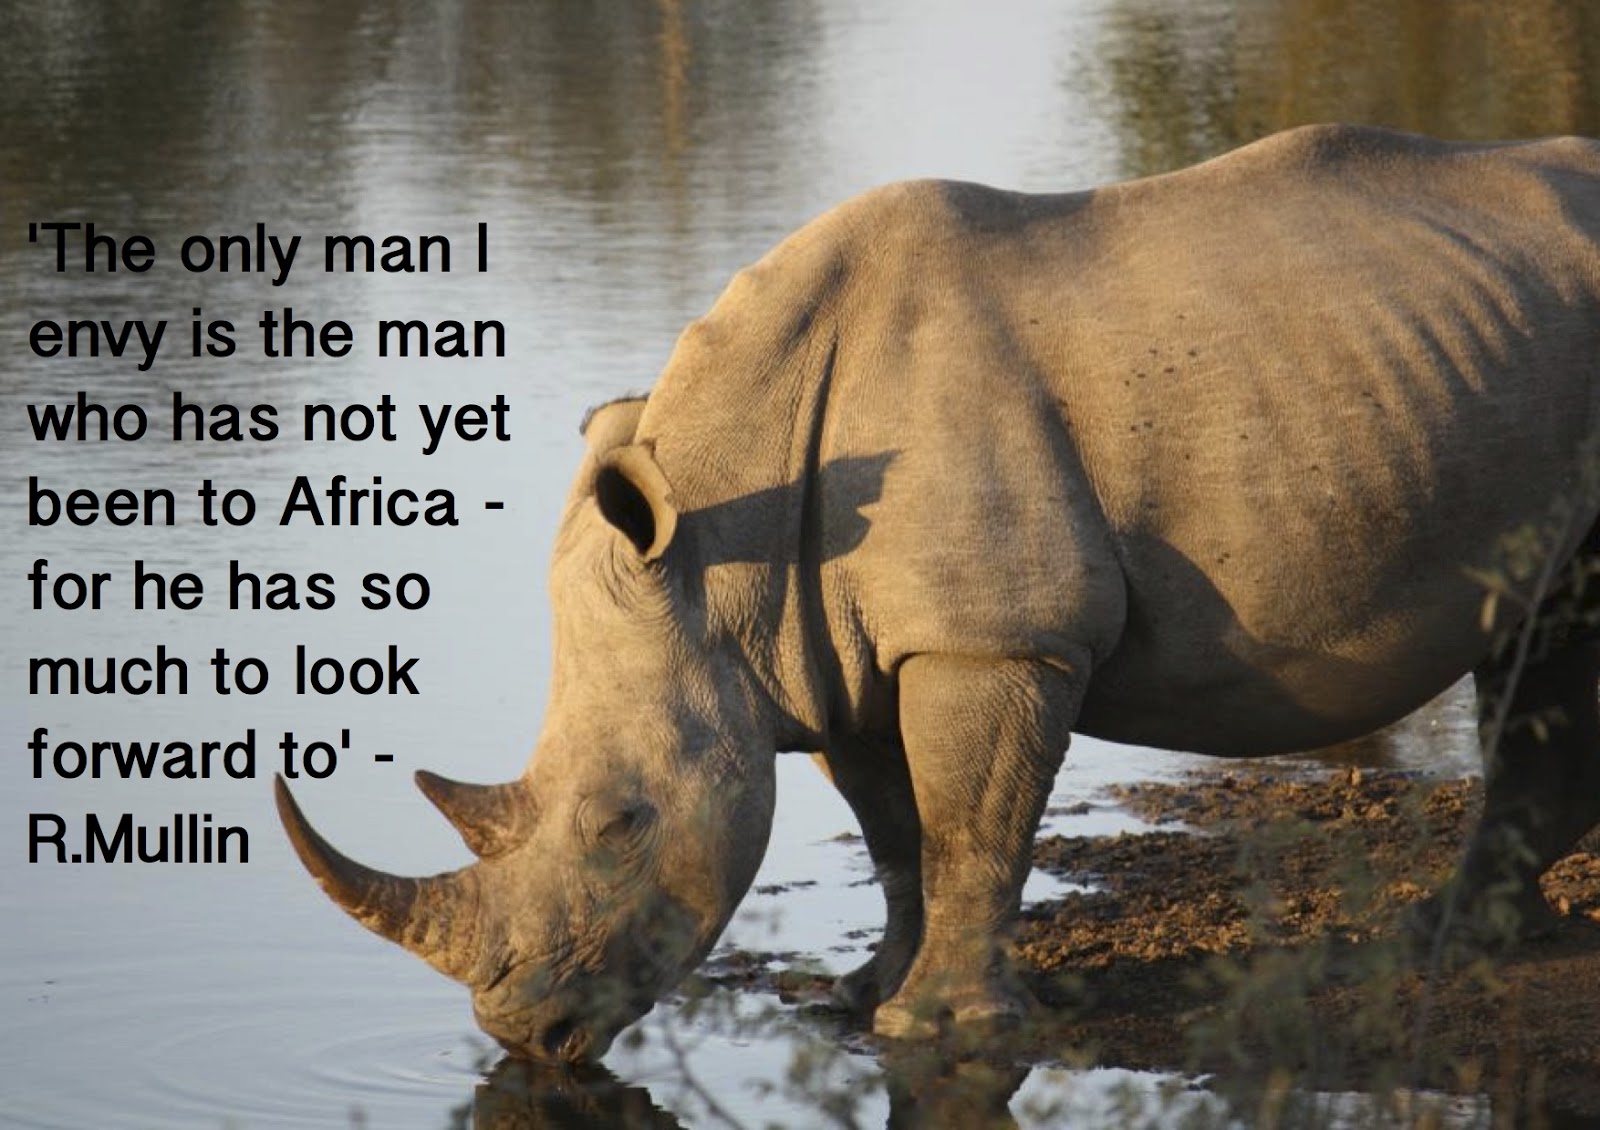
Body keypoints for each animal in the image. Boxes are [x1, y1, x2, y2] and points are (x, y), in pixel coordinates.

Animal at [277, 124, 1600, 1063]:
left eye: (619, 822)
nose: (523, 1036)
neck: (717, 541)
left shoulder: (991, 638)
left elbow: (972, 822)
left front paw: (936, 1026)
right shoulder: (820, 650)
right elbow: (895, 828)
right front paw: (860, 993)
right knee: (1542, 633)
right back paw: (1466, 931)